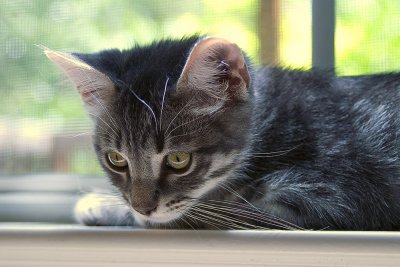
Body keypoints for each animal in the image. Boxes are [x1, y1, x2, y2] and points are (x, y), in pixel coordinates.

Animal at [45, 36, 400, 231]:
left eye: (179, 160)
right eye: (116, 160)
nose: (142, 207)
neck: (270, 128)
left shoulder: (330, 196)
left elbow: (210, 211)